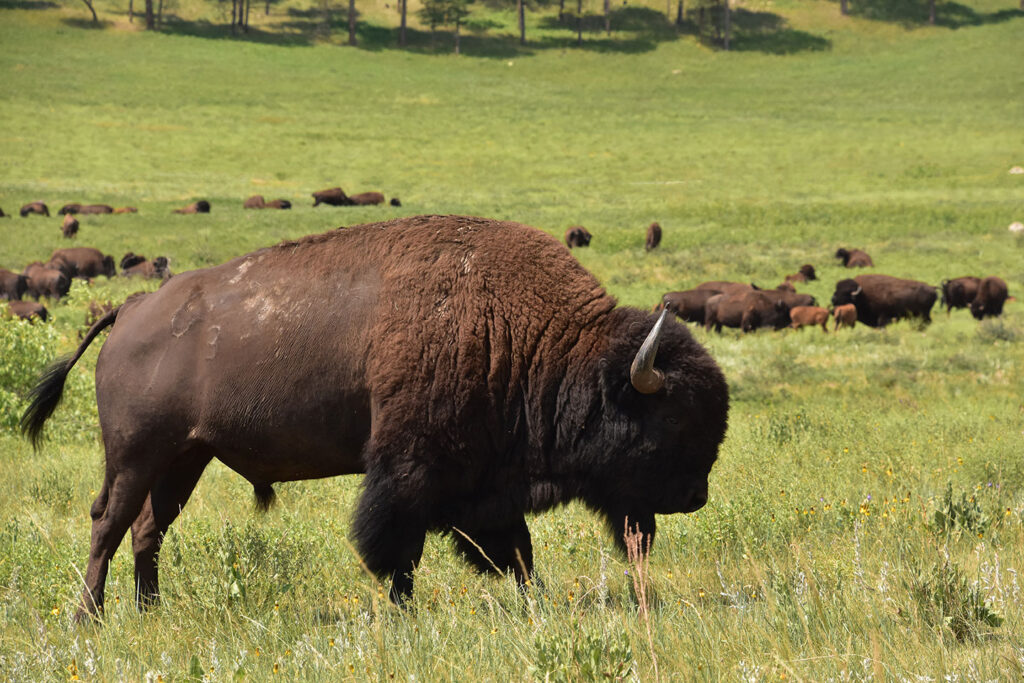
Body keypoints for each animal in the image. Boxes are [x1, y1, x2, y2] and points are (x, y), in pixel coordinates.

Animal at [22, 216, 729, 622]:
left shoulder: (481, 487)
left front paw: (534, 607)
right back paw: (90, 619)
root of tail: (132, 307)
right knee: (109, 523)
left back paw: (152, 612)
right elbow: (399, 549)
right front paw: (402, 614)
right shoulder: (408, 471)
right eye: (672, 422)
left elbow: (516, 553)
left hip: (185, 458)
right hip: (135, 455)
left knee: (148, 529)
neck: (532, 336)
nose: (695, 497)